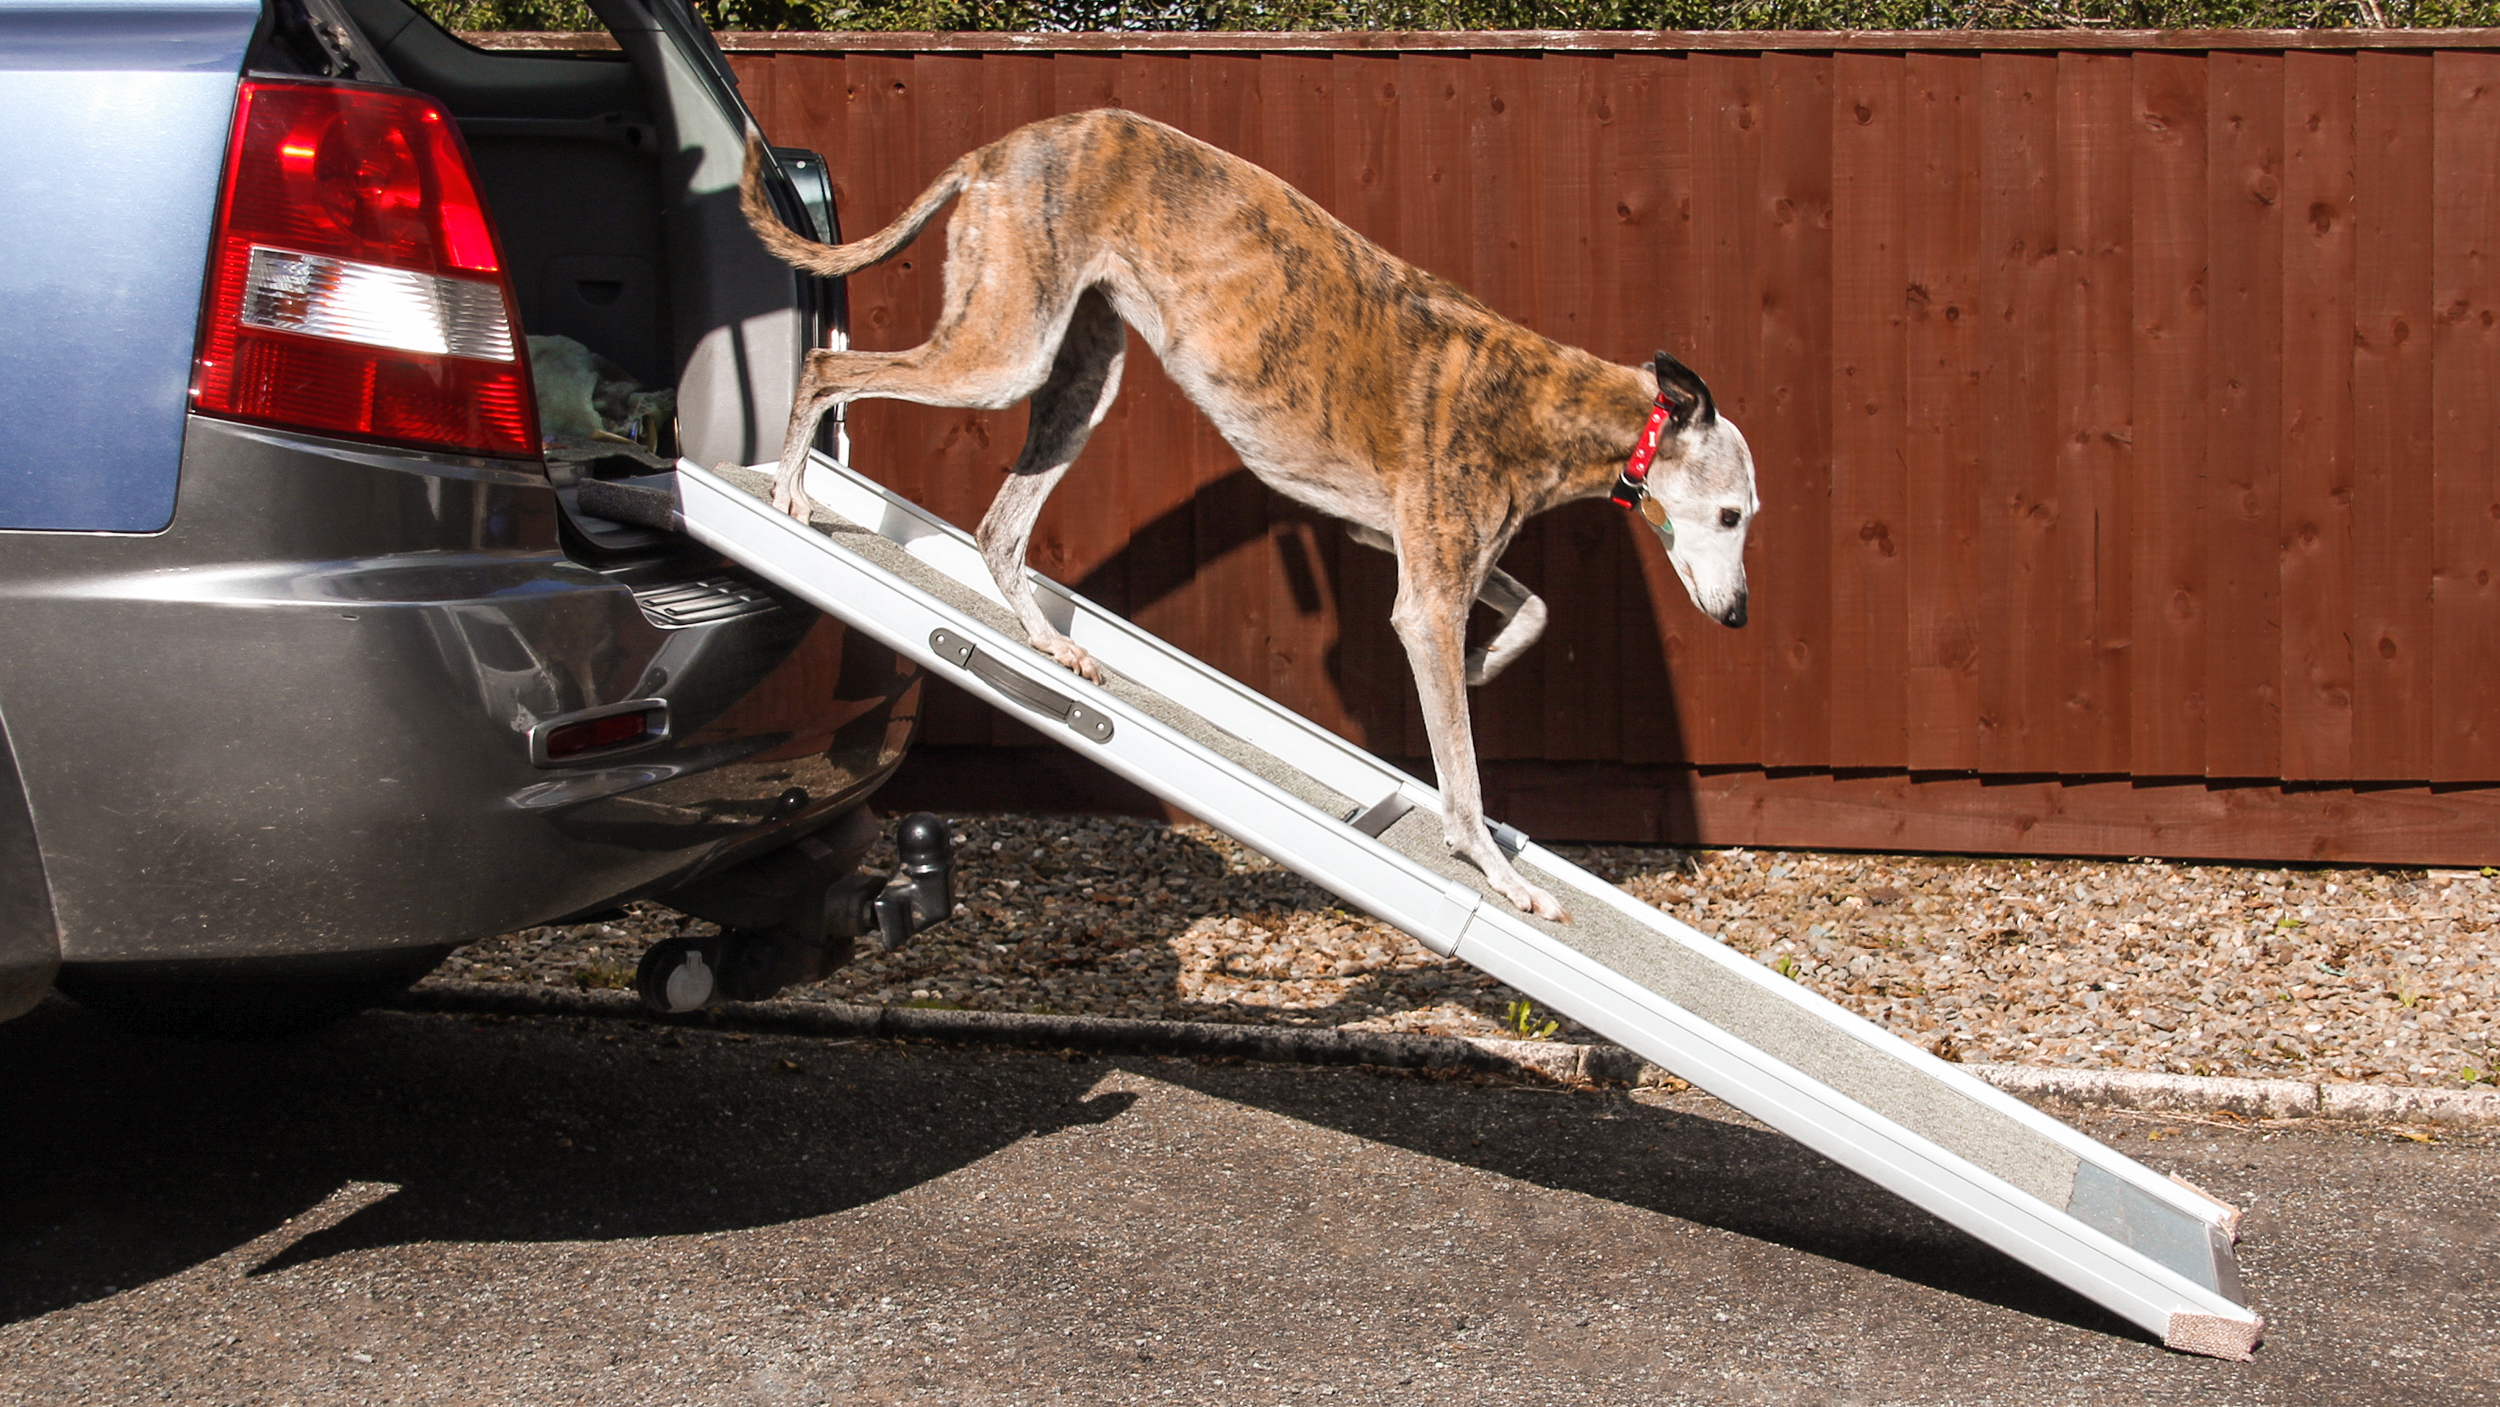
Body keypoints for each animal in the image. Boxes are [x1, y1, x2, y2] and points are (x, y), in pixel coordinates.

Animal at [740, 113, 1760, 924]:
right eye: (1731, 514)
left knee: (997, 529)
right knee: (829, 368)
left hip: (1081, 378)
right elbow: (1463, 781)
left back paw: (1050, 643)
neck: (1548, 398)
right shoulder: (1425, 597)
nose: (1740, 615)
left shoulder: (1404, 542)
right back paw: (790, 490)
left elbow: (1535, 609)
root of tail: (1001, 147)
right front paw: (1505, 880)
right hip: (1001, 353)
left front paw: (1487, 658)